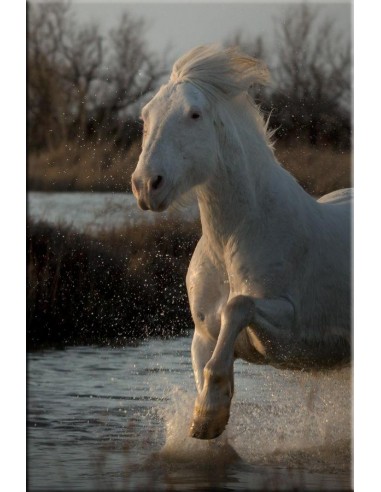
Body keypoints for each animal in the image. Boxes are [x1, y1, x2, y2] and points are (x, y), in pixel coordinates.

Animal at [131, 44, 350, 440]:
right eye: (146, 115)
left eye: (195, 114)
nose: (146, 185)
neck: (233, 239)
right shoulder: (204, 334)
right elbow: (206, 364)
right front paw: (209, 417)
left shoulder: (290, 329)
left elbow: (238, 306)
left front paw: (208, 412)